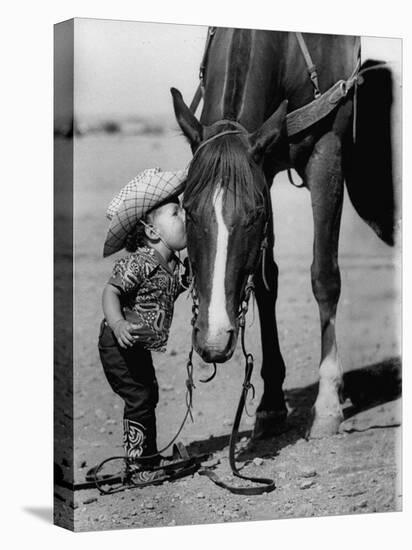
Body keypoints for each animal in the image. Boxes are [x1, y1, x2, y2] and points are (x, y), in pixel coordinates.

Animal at [169, 29, 394, 440]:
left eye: (254, 214)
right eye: (188, 210)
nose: (214, 339)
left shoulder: (327, 152)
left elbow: (324, 277)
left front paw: (327, 405)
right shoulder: (266, 167)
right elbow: (265, 280)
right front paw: (271, 403)